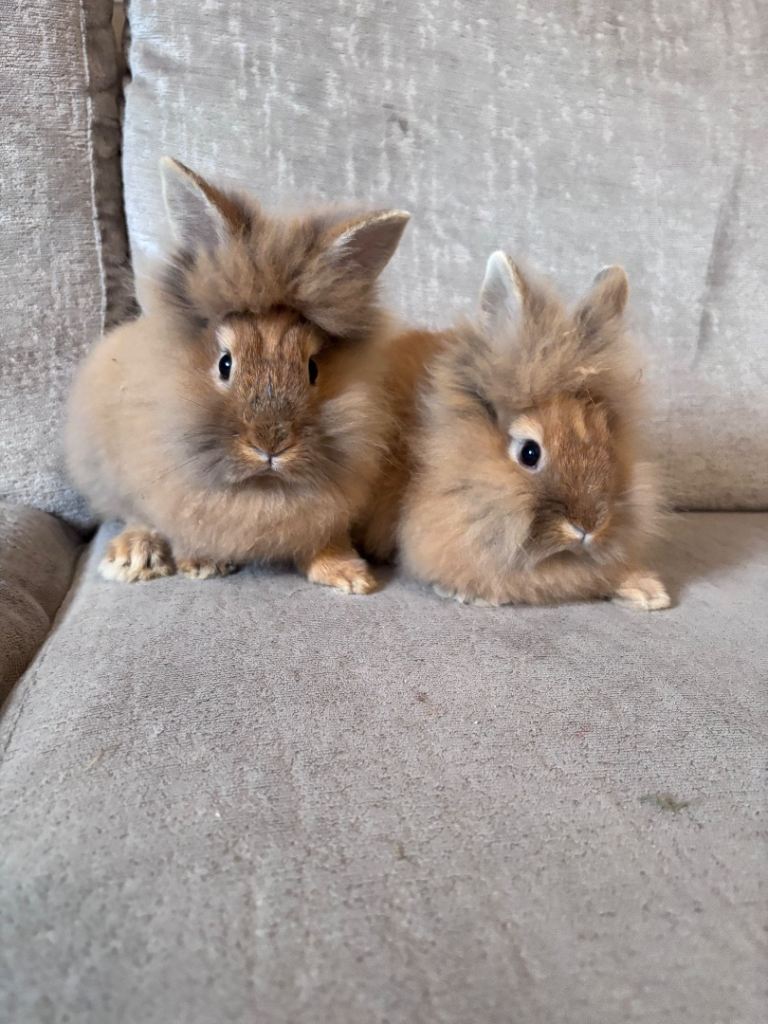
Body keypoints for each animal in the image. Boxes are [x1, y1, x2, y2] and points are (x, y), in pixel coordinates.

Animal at [65, 157, 410, 593]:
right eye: (224, 364)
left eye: (313, 368)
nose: (271, 444)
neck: (261, 489)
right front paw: (202, 563)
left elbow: (325, 538)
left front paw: (350, 576)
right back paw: (134, 556)